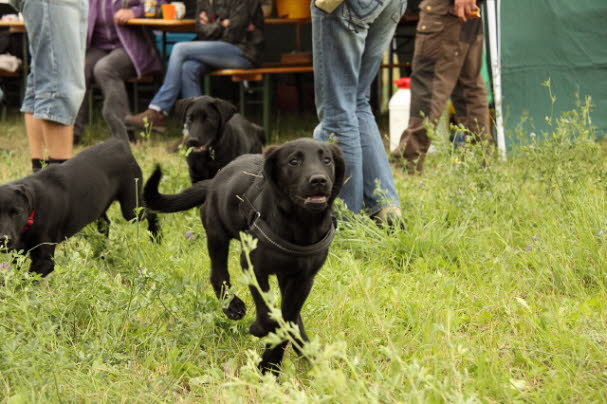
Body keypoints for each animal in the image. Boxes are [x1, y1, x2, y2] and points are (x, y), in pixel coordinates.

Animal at [0, 125, 159, 278]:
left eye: (16, 212)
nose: (3, 239)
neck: (34, 211)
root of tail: (119, 142)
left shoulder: (45, 261)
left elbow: (25, 280)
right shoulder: (18, 253)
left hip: (132, 208)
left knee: (151, 212)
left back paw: (156, 237)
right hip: (99, 207)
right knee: (106, 225)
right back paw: (100, 254)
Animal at [142, 138, 342, 372]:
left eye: (327, 160)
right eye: (294, 161)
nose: (319, 180)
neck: (299, 224)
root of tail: (214, 179)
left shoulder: (303, 279)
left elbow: (287, 319)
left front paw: (270, 364)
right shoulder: (252, 266)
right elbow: (267, 312)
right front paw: (261, 334)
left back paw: (306, 349)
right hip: (217, 233)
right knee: (218, 273)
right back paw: (232, 306)